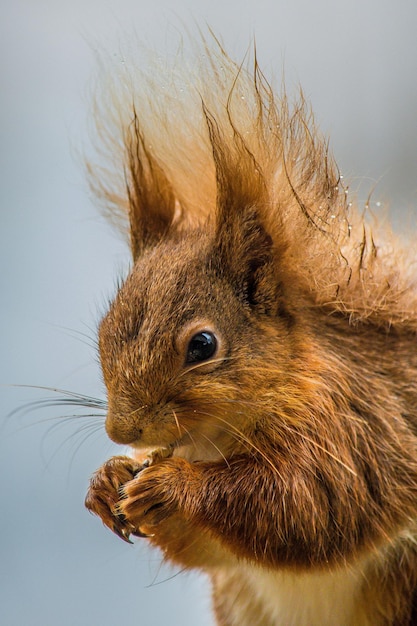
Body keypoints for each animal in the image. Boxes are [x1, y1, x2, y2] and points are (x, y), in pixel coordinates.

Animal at [83, 35, 416, 624]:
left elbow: (307, 505)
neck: (217, 439)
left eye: (203, 345)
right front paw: (110, 479)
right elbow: (211, 546)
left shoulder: (355, 431)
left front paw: (175, 484)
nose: (122, 432)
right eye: (105, 327)